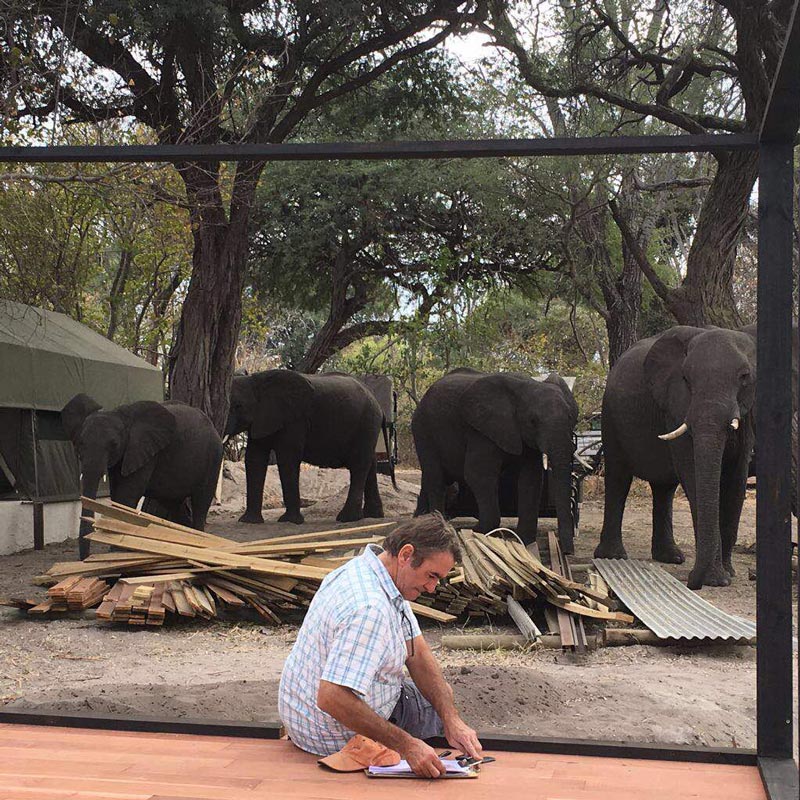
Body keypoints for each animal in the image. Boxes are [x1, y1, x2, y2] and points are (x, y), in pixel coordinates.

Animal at [61, 394, 225, 556]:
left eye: (114, 445)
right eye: (79, 444)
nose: (85, 559)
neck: (120, 414)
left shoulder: (145, 451)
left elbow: (127, 495)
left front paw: (116, 551)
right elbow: (116, 495)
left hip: (213, 458)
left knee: (200, 502)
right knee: (174, 505)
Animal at [225, 370, 390, 524]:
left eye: (238, 406)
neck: (256, 380)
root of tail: (380, 407)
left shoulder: (295, 419)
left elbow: (287, 459)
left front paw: (290, 521)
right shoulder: (262, 419)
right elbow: (255, 458)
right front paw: (248, 521)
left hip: (366, 423)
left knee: (359, 464)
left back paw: (347, 518)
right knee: (370, 464)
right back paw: (373, 516)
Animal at [410, 372, 580, 552]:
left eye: (572, 418)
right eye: (533, 421)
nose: (567, 551)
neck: (528, 384)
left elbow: (531, 479)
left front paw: (521, 541)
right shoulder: (481, 431)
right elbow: (478, 474)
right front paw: (477, 532)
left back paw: (419, 520)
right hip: (423, 430)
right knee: (436, 479)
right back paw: (437, 523)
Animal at [592, 324, 756, 588]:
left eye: (744, 377)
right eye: (686, 379)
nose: (692, 583)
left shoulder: (748, 414)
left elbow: (736, 480)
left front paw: (728, 574)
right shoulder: (676, 406)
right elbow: (691, 471)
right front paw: (716, 579)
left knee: (664, 488)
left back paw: (671, 557)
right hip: (610, 417)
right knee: (618, 478)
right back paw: (612, 556)